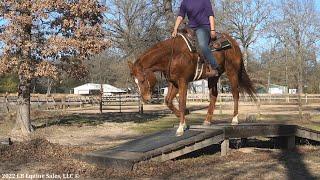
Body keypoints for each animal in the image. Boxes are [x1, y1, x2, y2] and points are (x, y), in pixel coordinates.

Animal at [127, 32, 255, 136]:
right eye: (135, 82)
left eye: (142, 80)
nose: (146, 99)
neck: (172, 55)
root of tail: (233, 42)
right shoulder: (174, 83)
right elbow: (168, 101)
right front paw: (184, 121)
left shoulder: (183, 81)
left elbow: (182, 103)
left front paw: (180, 128)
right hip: (214, 76)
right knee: (214, 95)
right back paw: (207, 120)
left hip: (232, 72)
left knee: (235, 94)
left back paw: (234, 119)